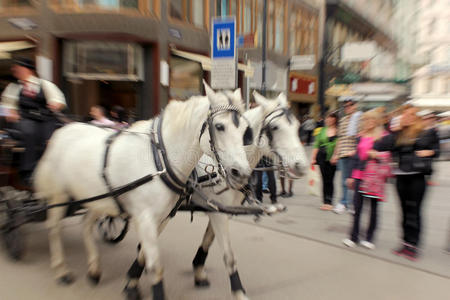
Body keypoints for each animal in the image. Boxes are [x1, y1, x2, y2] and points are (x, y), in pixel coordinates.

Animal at [33, 82, 251, 300]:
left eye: (245, 130)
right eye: (220, 126)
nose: (241, 173)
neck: (159, 159)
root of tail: (63, 130)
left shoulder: (161, 217)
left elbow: (144, 254)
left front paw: (131, 284)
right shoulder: (145, 218)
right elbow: (155, 267)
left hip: (97, 199)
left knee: (86, 225)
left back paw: (94, 270)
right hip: (60, 195)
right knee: (54, 227)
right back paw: (62, 270)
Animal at [122, 92, 310, 300]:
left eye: (297, 126)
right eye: (275, 127)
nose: (302, 166)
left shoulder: (219, 210)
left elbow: (207, 242)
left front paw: (198, 271)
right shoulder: (216, 213)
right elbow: (228, 255)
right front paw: (238, 291)